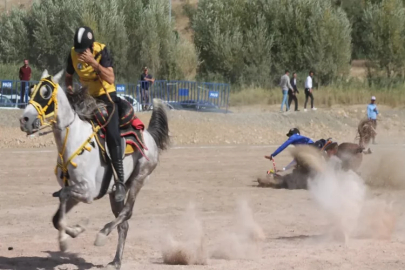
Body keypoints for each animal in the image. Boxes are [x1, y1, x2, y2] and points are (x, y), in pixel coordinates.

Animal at [19, 68, 169, 268]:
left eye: (45, 93)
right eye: (31, 90)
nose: (24, 120)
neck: (73, 139)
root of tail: (149, 135)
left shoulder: (88, 191)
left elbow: (63, 199)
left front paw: (72, 234)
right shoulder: (75, 191)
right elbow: (57, 217)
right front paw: (70, 235)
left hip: (140, 178)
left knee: (127, 212)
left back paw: (102, 235)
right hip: (115, 193)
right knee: (124, 223)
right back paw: (116, 261)